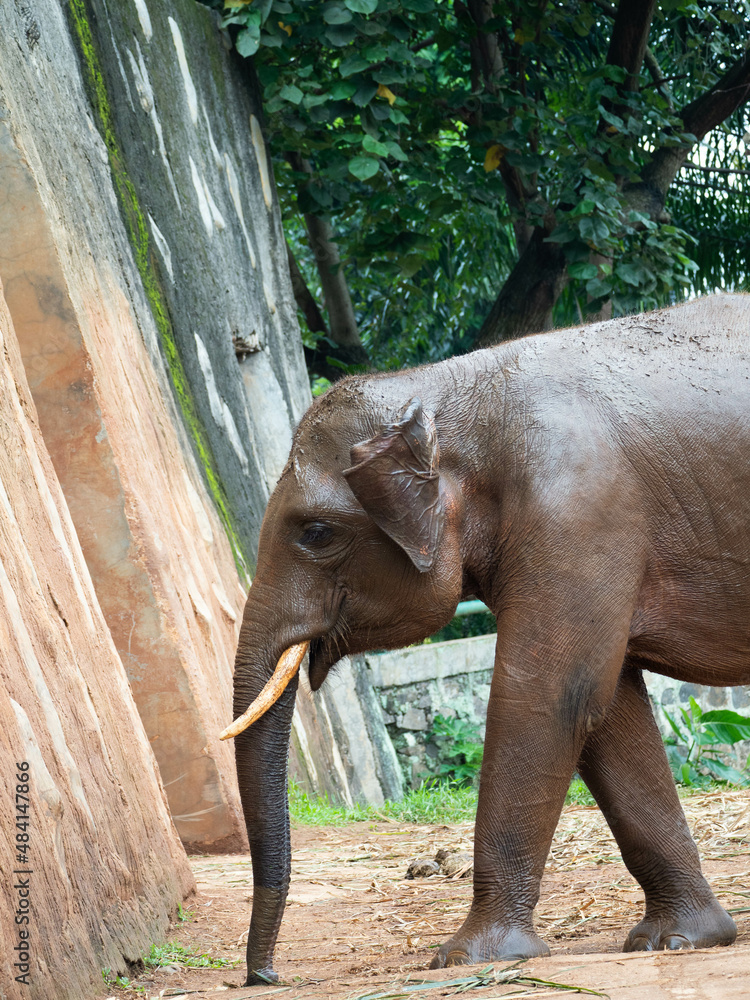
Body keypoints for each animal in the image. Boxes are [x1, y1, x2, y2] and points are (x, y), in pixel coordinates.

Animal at [223, 294, 749, 985]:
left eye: (315, 532)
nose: (265, 976)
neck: (445, 391)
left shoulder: (580, 512)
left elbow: (547, 701)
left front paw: (466, 956)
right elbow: (609, 712)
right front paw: (679, 940)